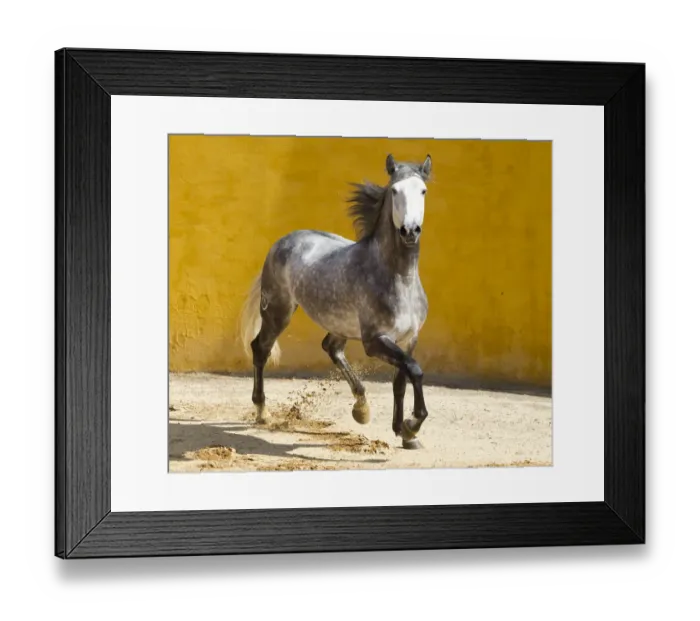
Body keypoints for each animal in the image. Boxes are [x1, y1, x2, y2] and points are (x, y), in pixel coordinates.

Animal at [240, 154, 432, 449]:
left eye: (422, 190)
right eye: (395, 191)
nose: (410, 231)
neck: (399, 278)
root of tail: (283, 241)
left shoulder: (409, 339)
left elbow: (401, 380)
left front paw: (404, 433)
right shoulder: (374, 341)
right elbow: (415, 370)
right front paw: (412, 425)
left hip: (338, 325)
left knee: (331, 348)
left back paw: (361, 407)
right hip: (278, 312)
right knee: (260, 349)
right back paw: (262, 412)